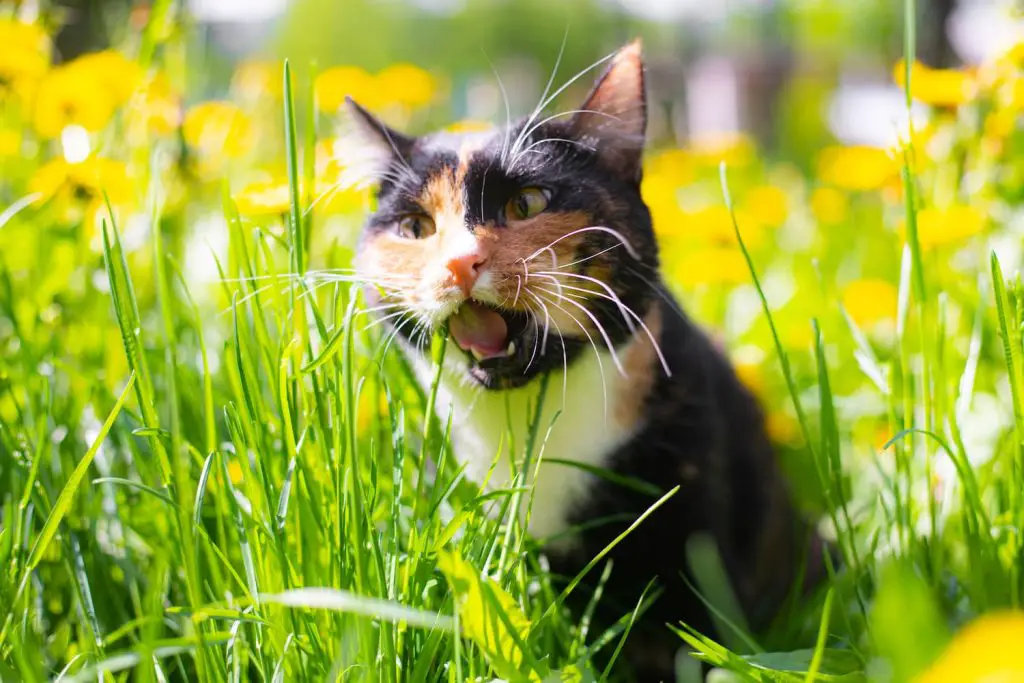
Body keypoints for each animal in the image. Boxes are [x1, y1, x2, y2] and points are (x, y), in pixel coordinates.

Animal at [339, 40, 827, 679]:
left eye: (527, 202)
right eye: (415, 226)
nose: (459, 263)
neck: (532, 419)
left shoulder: (689, 520)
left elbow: (687, 632)